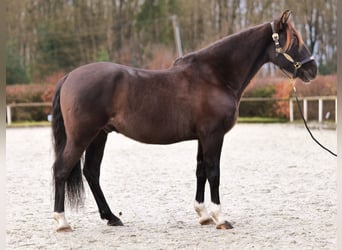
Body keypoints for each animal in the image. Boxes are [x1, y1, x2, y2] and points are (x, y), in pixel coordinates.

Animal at [52, 10, 316, 231]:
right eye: (294, 41)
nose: (312, 70)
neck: (215, 76)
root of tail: (69, 76)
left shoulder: (203, 136)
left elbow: (200, 171)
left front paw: (203, 215)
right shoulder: (213, 135)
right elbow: (214, 172)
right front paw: (220, 218)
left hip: (99, 135)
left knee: (91, 172)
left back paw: (112, 217)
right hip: (82, 136)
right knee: (61, 169)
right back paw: (62, 222)